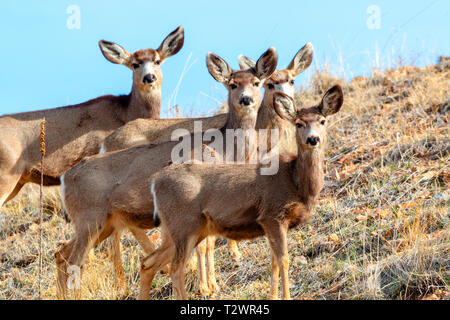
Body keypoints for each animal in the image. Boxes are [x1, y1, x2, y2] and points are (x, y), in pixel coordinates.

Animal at [54, 48, 276, 300]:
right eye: (232, 84)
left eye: (256, 82)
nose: (246, 99)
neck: (224, 149)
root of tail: (65, 180)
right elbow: (203, 245)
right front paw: (206, 287)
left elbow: (209, 242)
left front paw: (212, 284)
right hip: (90, 217)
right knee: (74, 260)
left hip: (101, 222)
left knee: (62, 254)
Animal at [142, 84, 344, 300]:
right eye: (298, 123)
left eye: (322, 121)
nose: (313, 139)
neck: (296, 182)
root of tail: (155, 182)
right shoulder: (272, 215)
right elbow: (284, 260)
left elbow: (274, 261)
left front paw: (272, 296)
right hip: (183, 224)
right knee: (175, 268)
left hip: (185, 229)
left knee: (148, 263)